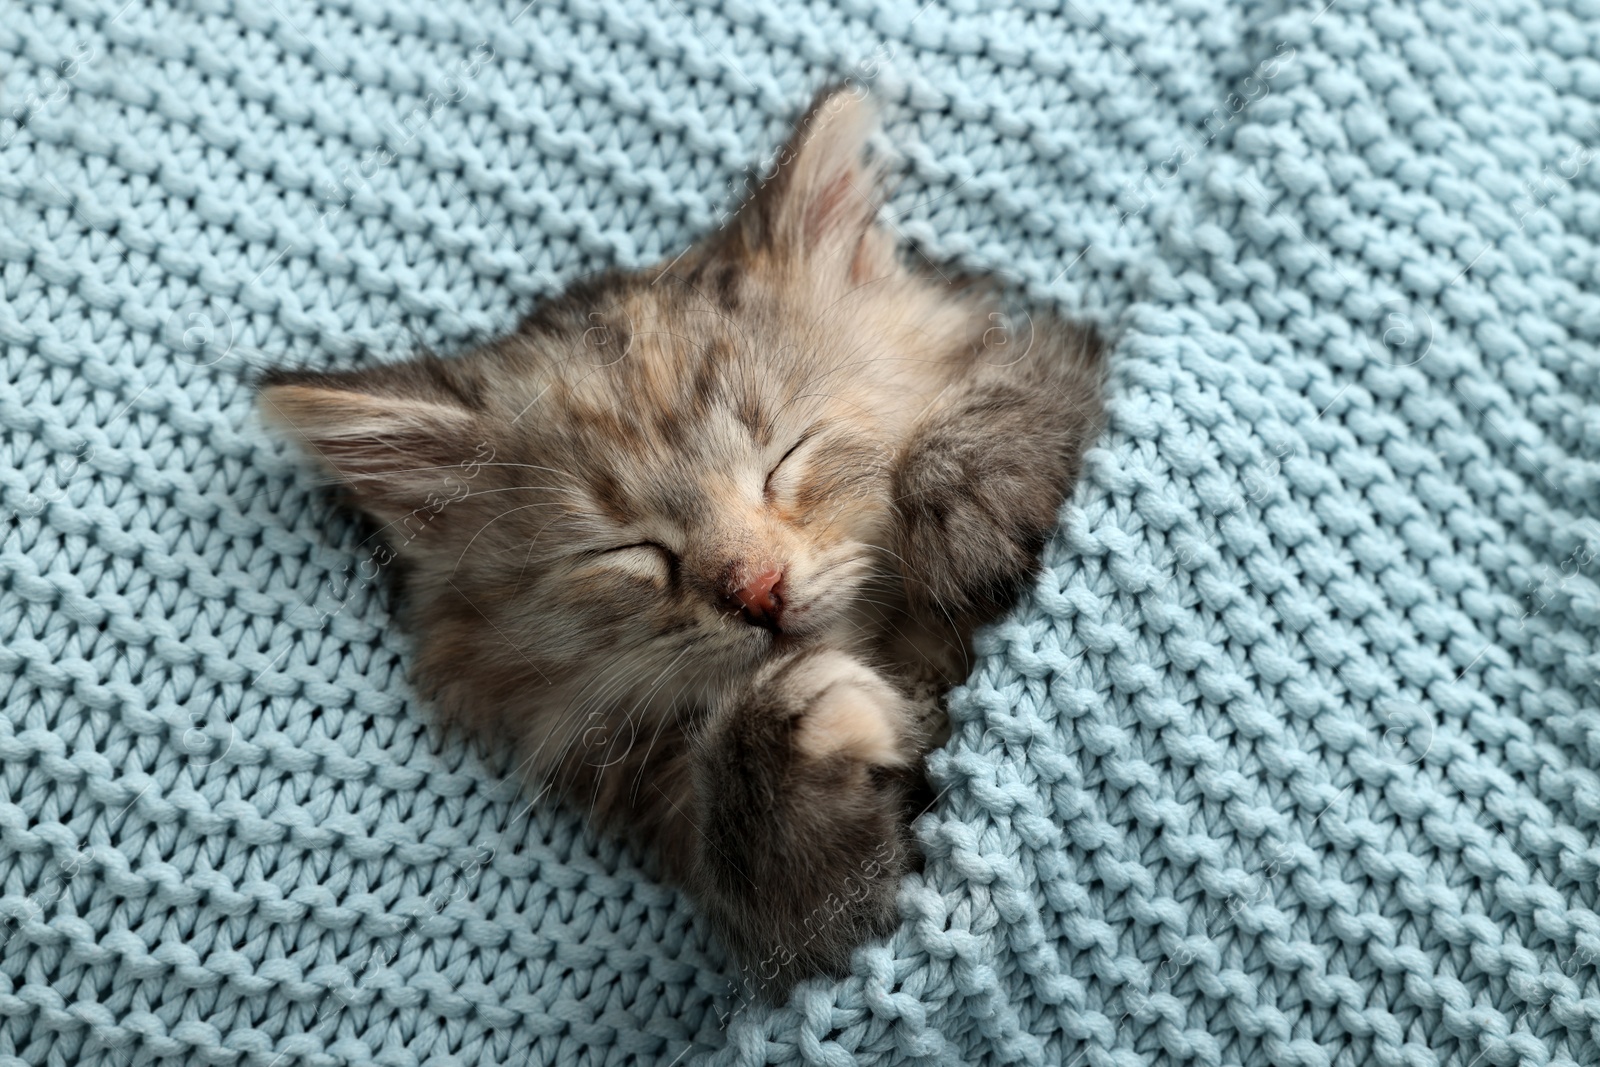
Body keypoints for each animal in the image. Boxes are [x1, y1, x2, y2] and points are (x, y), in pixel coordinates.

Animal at [262, 85, 1107, 1004]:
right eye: (630, 551)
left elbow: (1051, 388)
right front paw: (783, 731)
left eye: (785, 459)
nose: (756, 589)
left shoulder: (1090, 360)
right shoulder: (835, 936)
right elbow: (816, 901)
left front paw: (964, 494)